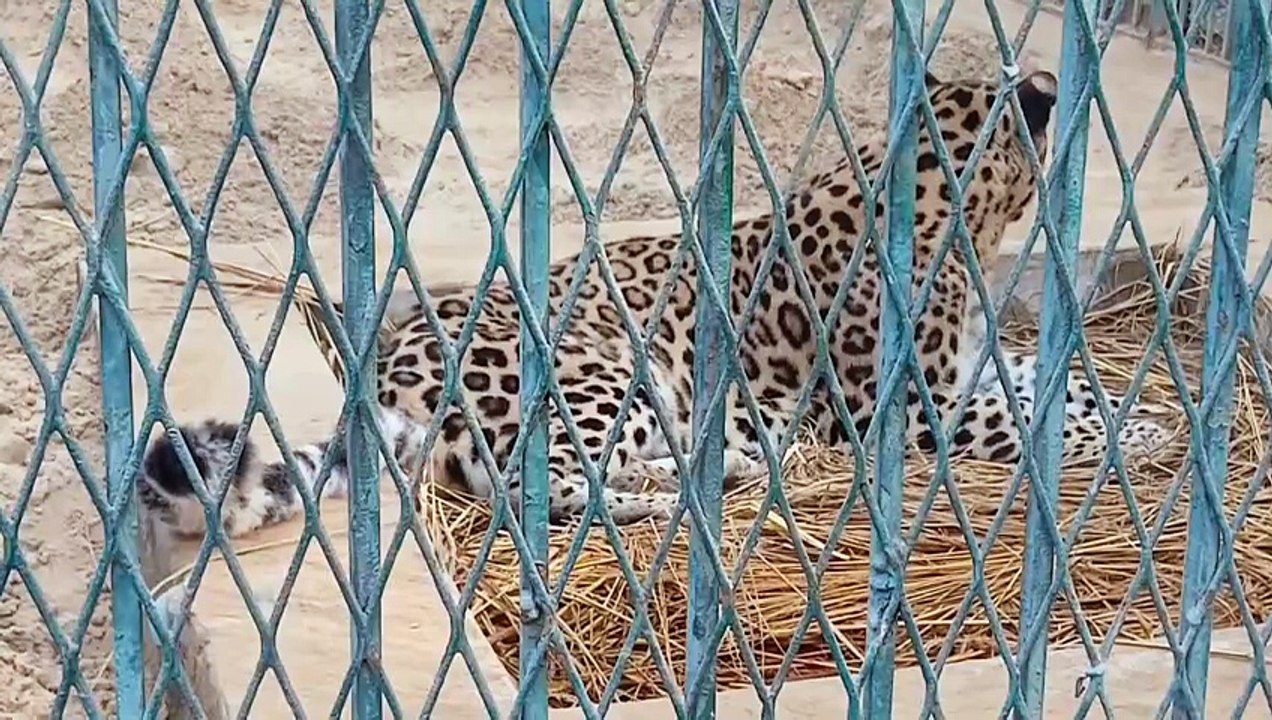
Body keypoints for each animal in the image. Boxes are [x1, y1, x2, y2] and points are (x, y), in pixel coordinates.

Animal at [137, 67, 1171, 541]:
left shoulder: (978, 367)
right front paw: (1143, 436)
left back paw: (736, 465)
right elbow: (1035, 421)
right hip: (605, 377)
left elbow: (1057, 386)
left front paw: (1149, 416)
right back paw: (709, 488)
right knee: (547, 488)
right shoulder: (907, 411)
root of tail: (387, 371)